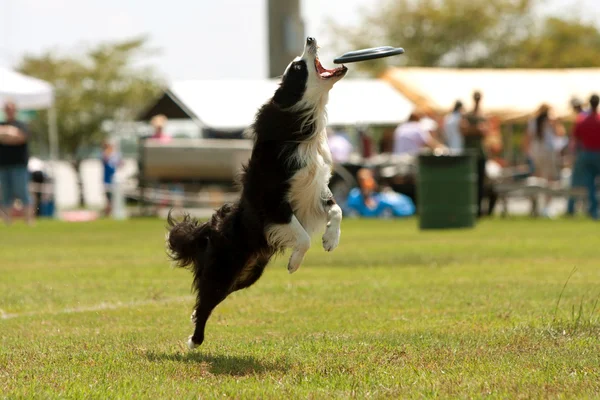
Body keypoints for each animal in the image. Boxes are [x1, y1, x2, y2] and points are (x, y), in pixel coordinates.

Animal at [168, 38, 346, 350]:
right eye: (297, 67)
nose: (310, 39)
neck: (301, 124)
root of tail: (209, 231)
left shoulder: (315, 190)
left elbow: (336, 210)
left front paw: (329, 241)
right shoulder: (273, 202)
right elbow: (302, 237)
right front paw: (294, 263)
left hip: (248, 274)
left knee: (209, 299)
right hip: (226, 267)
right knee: (207, 299)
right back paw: (193, 341)